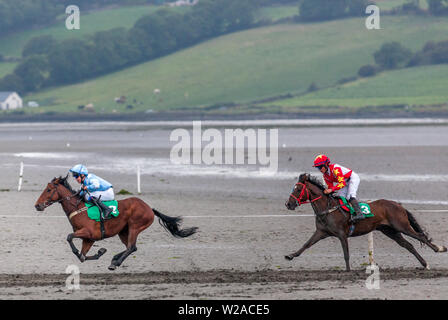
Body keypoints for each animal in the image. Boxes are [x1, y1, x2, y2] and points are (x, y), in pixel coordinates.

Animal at [33, 176, 198, 272]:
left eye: (49, 190)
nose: (37, 205)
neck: (78, 208)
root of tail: (149, 208)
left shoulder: (89, 233)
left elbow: (69, 237)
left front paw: (99, 252)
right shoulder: (89, 239)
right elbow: (82, 257)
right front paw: (100, 252)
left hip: (135, 226)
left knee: (131, 246)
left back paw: (115, 263)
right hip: (123, 231)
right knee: (132, 247)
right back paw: (114, 259)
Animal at [286, 174, 446, 272]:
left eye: (298, 189)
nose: (288, 204)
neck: (328, 208)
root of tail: (398, 205)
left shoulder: (342, 234)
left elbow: (346, 253)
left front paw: (348, 270)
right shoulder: (321, 232)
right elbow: (306, 245)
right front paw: (290, 255)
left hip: (402, 226)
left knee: (421, 237)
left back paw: (439, 249)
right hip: (390, 231)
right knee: (408, 245)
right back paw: (425, 264)